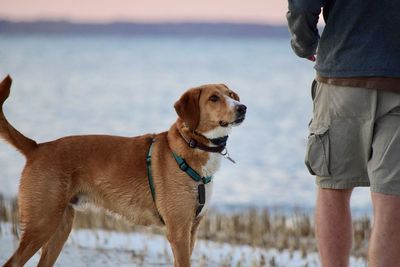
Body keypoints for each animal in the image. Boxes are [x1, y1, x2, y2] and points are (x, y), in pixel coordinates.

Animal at [0, 76, 247, 267]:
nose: (242, 107)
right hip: (42, 223)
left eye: (231, 95)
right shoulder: (178, 232)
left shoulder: (191, 231)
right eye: (213, 98)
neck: (193, 144)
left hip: (60, 225)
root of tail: (37, 147)